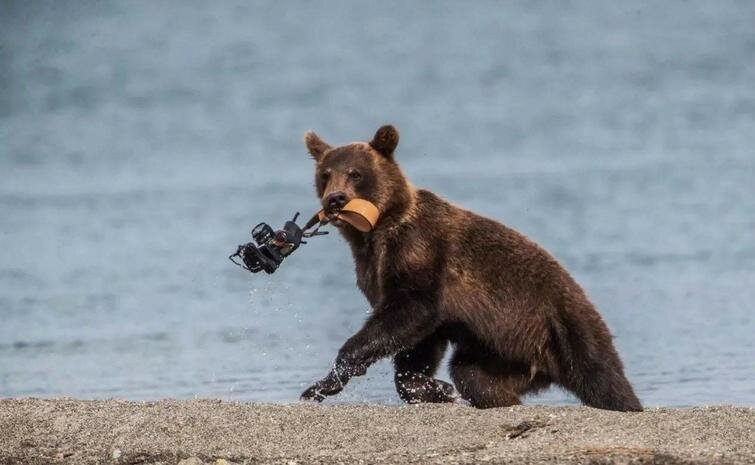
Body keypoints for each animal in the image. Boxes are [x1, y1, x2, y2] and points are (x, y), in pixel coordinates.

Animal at [298, 124, 640, 410]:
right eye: (326, 174)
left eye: (355, 173)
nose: (335, 199)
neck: (377, 231)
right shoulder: (374, 269)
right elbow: (418, 340)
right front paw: (436, 389)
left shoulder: (420, 252)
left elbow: (411, 310)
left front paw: (330, 377)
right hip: (500, 350)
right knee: (473, 375)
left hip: (565, 324)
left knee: (601, 376)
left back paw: (626, 402)